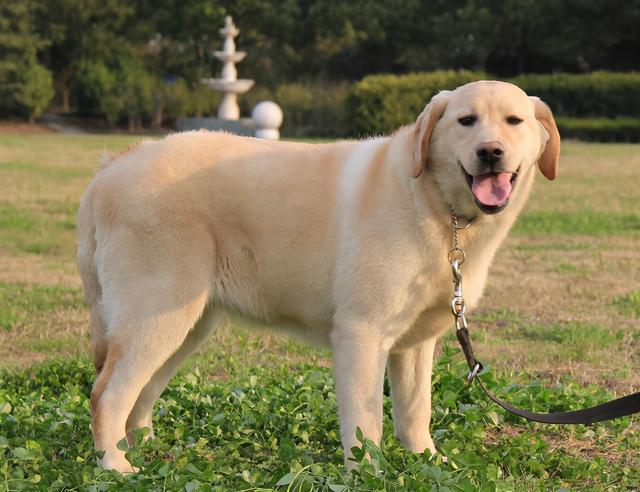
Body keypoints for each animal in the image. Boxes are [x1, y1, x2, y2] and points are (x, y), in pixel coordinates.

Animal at [77, 80, 560, 472]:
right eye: (466, 120)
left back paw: (145, 451)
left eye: (514, 121)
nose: (490, 152)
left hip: (185, 325)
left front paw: (427, 462)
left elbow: (414, 411)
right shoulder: (361, 334)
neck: (443, 210)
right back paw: (116, 466)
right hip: (157, 317)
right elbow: (367, 424)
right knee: (106, 396)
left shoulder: (414, 345)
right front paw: (368, 475)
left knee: (138, 396)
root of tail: (107, 171)